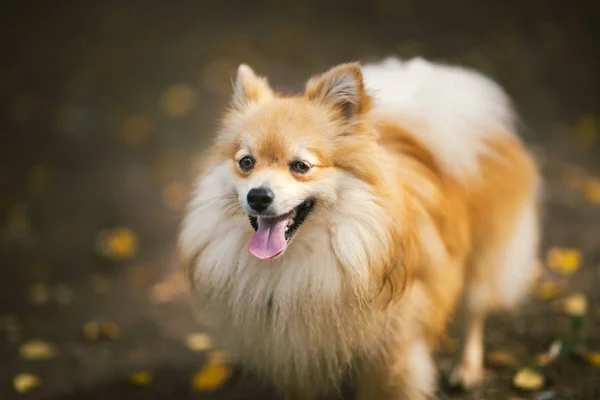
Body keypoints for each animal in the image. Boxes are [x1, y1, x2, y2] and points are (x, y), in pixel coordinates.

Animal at [177, 57, 540, 400]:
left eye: (301, 166)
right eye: (246, 163)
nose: (258, 196)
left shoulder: (390, 355)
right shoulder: (291, 354)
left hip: (484, 258)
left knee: (475, 312)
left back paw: (467, 367)